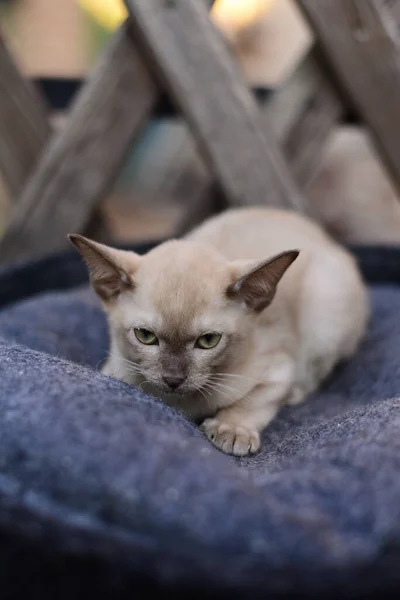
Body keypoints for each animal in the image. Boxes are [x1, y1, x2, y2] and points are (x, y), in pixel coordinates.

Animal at [69, 209, 368, 458]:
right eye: (145, 336)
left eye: (208, 341)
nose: (173, 379)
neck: (180, 405)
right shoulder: (115, 370)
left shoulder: (278, 372)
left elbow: (249, 403)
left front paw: (231, 431)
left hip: (326, 308)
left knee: (315, 373)